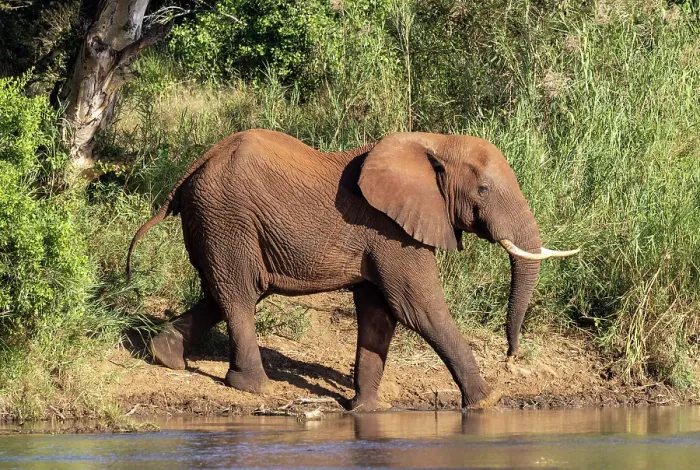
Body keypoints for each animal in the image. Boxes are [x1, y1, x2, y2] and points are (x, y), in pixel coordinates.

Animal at [126, 129, 579, 411]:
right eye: (483, 189)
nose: (511, 354)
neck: (434, 141)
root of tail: (193, 167)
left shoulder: (385, 235)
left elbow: (380, 314)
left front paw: (366, 409)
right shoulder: (391, 231)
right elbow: (418, 308)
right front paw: (488, 401)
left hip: (220, 223)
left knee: (225, 291)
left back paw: (165, 356)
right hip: (226, 217)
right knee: (238, 296)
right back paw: (256, 388)